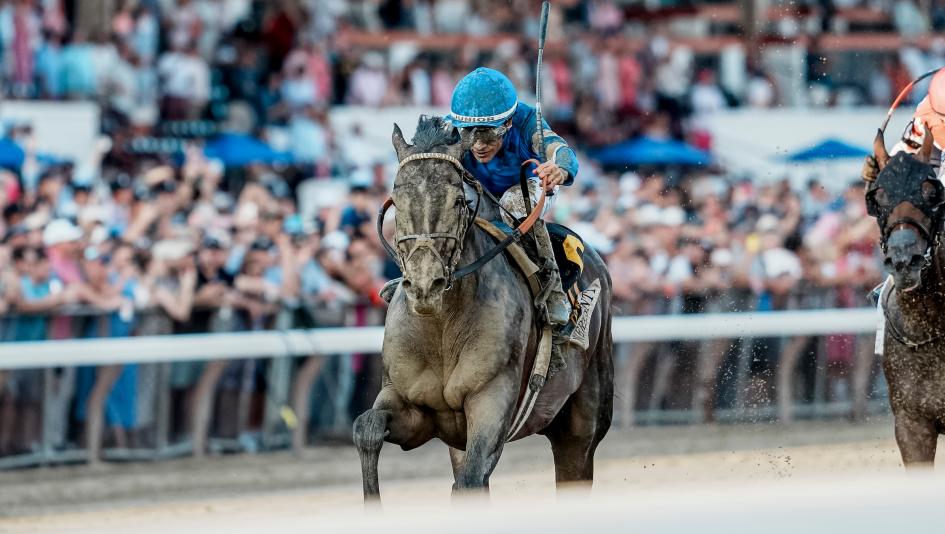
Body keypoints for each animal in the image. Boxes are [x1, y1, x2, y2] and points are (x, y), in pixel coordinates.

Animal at [352, 116, 614, 499]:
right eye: (397, 200)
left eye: (459, 201)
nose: (424, 285)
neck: (442, 327)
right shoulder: (412, 406)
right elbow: (366, 428)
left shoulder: (491, 402)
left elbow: (472, 480)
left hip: (582, 421)